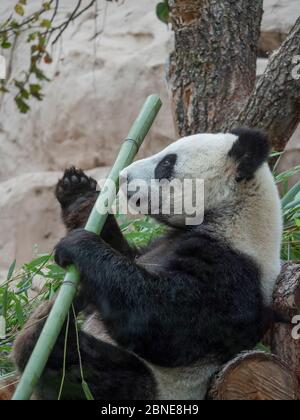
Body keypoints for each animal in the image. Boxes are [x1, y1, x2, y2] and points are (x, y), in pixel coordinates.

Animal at [11, 128, 282, 400]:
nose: (124, 175)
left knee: (77, 367)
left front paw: (79, 244)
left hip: (146, 385)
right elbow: (123, 260)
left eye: (166, 163)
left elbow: (158, 320)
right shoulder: (158, 245)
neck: (231, 216)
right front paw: (79, 195)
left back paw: (41, 332)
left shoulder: (230, 272)